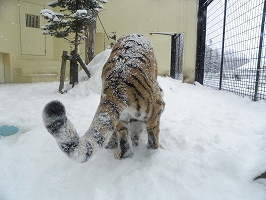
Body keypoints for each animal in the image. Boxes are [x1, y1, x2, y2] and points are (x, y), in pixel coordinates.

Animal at [42, 33, 164, 162]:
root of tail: (116, 87)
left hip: (121, 119)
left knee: (124, 144)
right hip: (154, 109)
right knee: (152, 138)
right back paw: (151, 151)